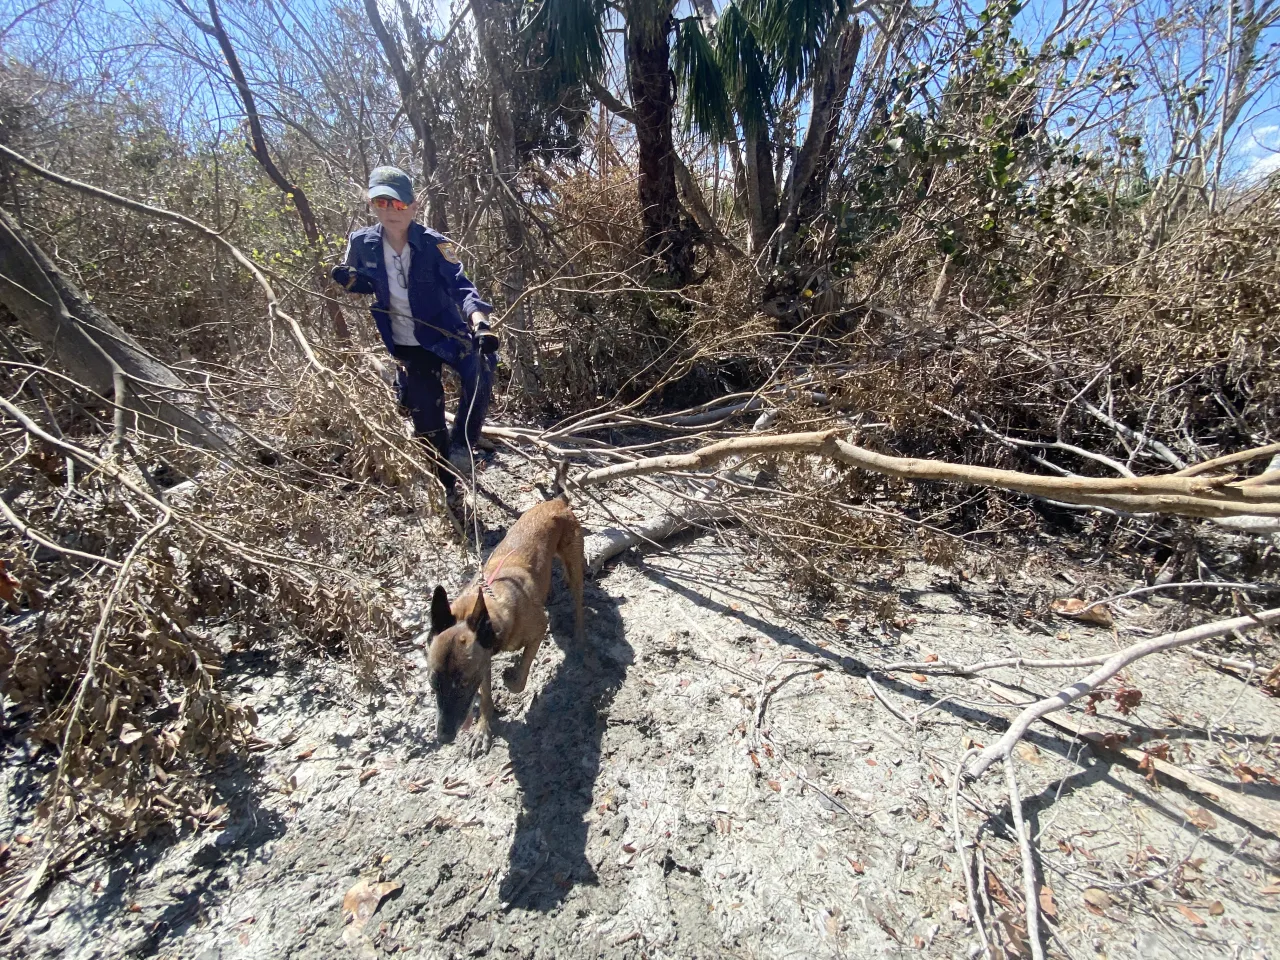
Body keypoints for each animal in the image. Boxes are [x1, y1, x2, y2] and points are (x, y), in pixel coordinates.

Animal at [424, 496, 586, 757]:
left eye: (463, 684)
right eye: (433, 684)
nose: (443, 737)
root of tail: (556, 502)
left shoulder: (537, 631)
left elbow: (519, 681)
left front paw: (511, 677)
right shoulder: (483, 662)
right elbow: (486, 698)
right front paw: (483, 729)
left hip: (574, 567)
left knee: (579, 603)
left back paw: (580, 637)